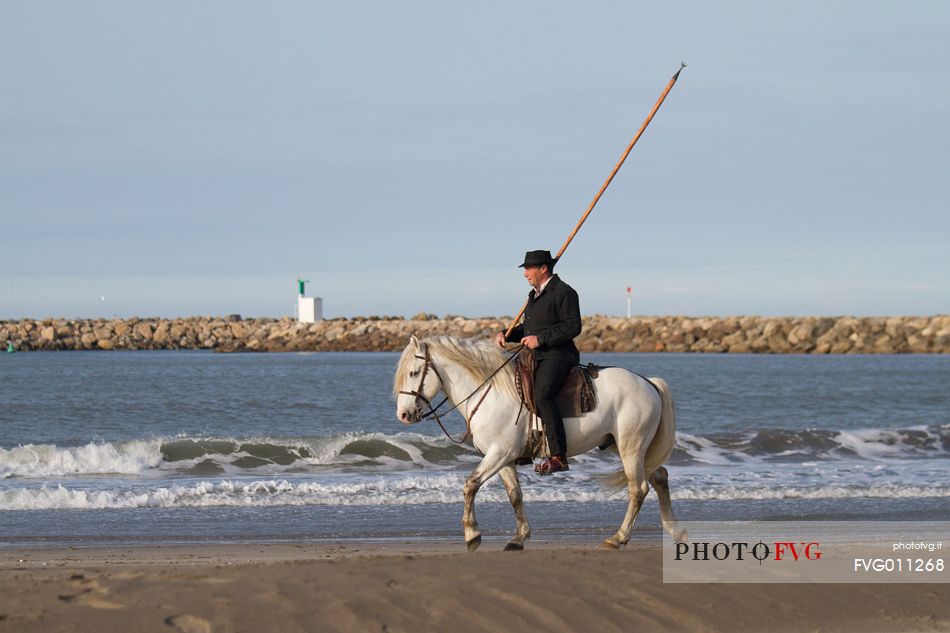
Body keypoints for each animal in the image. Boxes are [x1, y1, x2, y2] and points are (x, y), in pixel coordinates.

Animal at [390, 336, 688, 548]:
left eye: (414, 372)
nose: (403, 415)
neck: (490, 391)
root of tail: (649, 383)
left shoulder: (499, 453)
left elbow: (470, 485)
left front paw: (472, 533)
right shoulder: (503, 458)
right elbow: (515, 495)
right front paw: (519, 536)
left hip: (631, 446)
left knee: (638, 489)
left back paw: (619, 537)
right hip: (622, 446)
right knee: (659, 477)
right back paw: (675, 531)